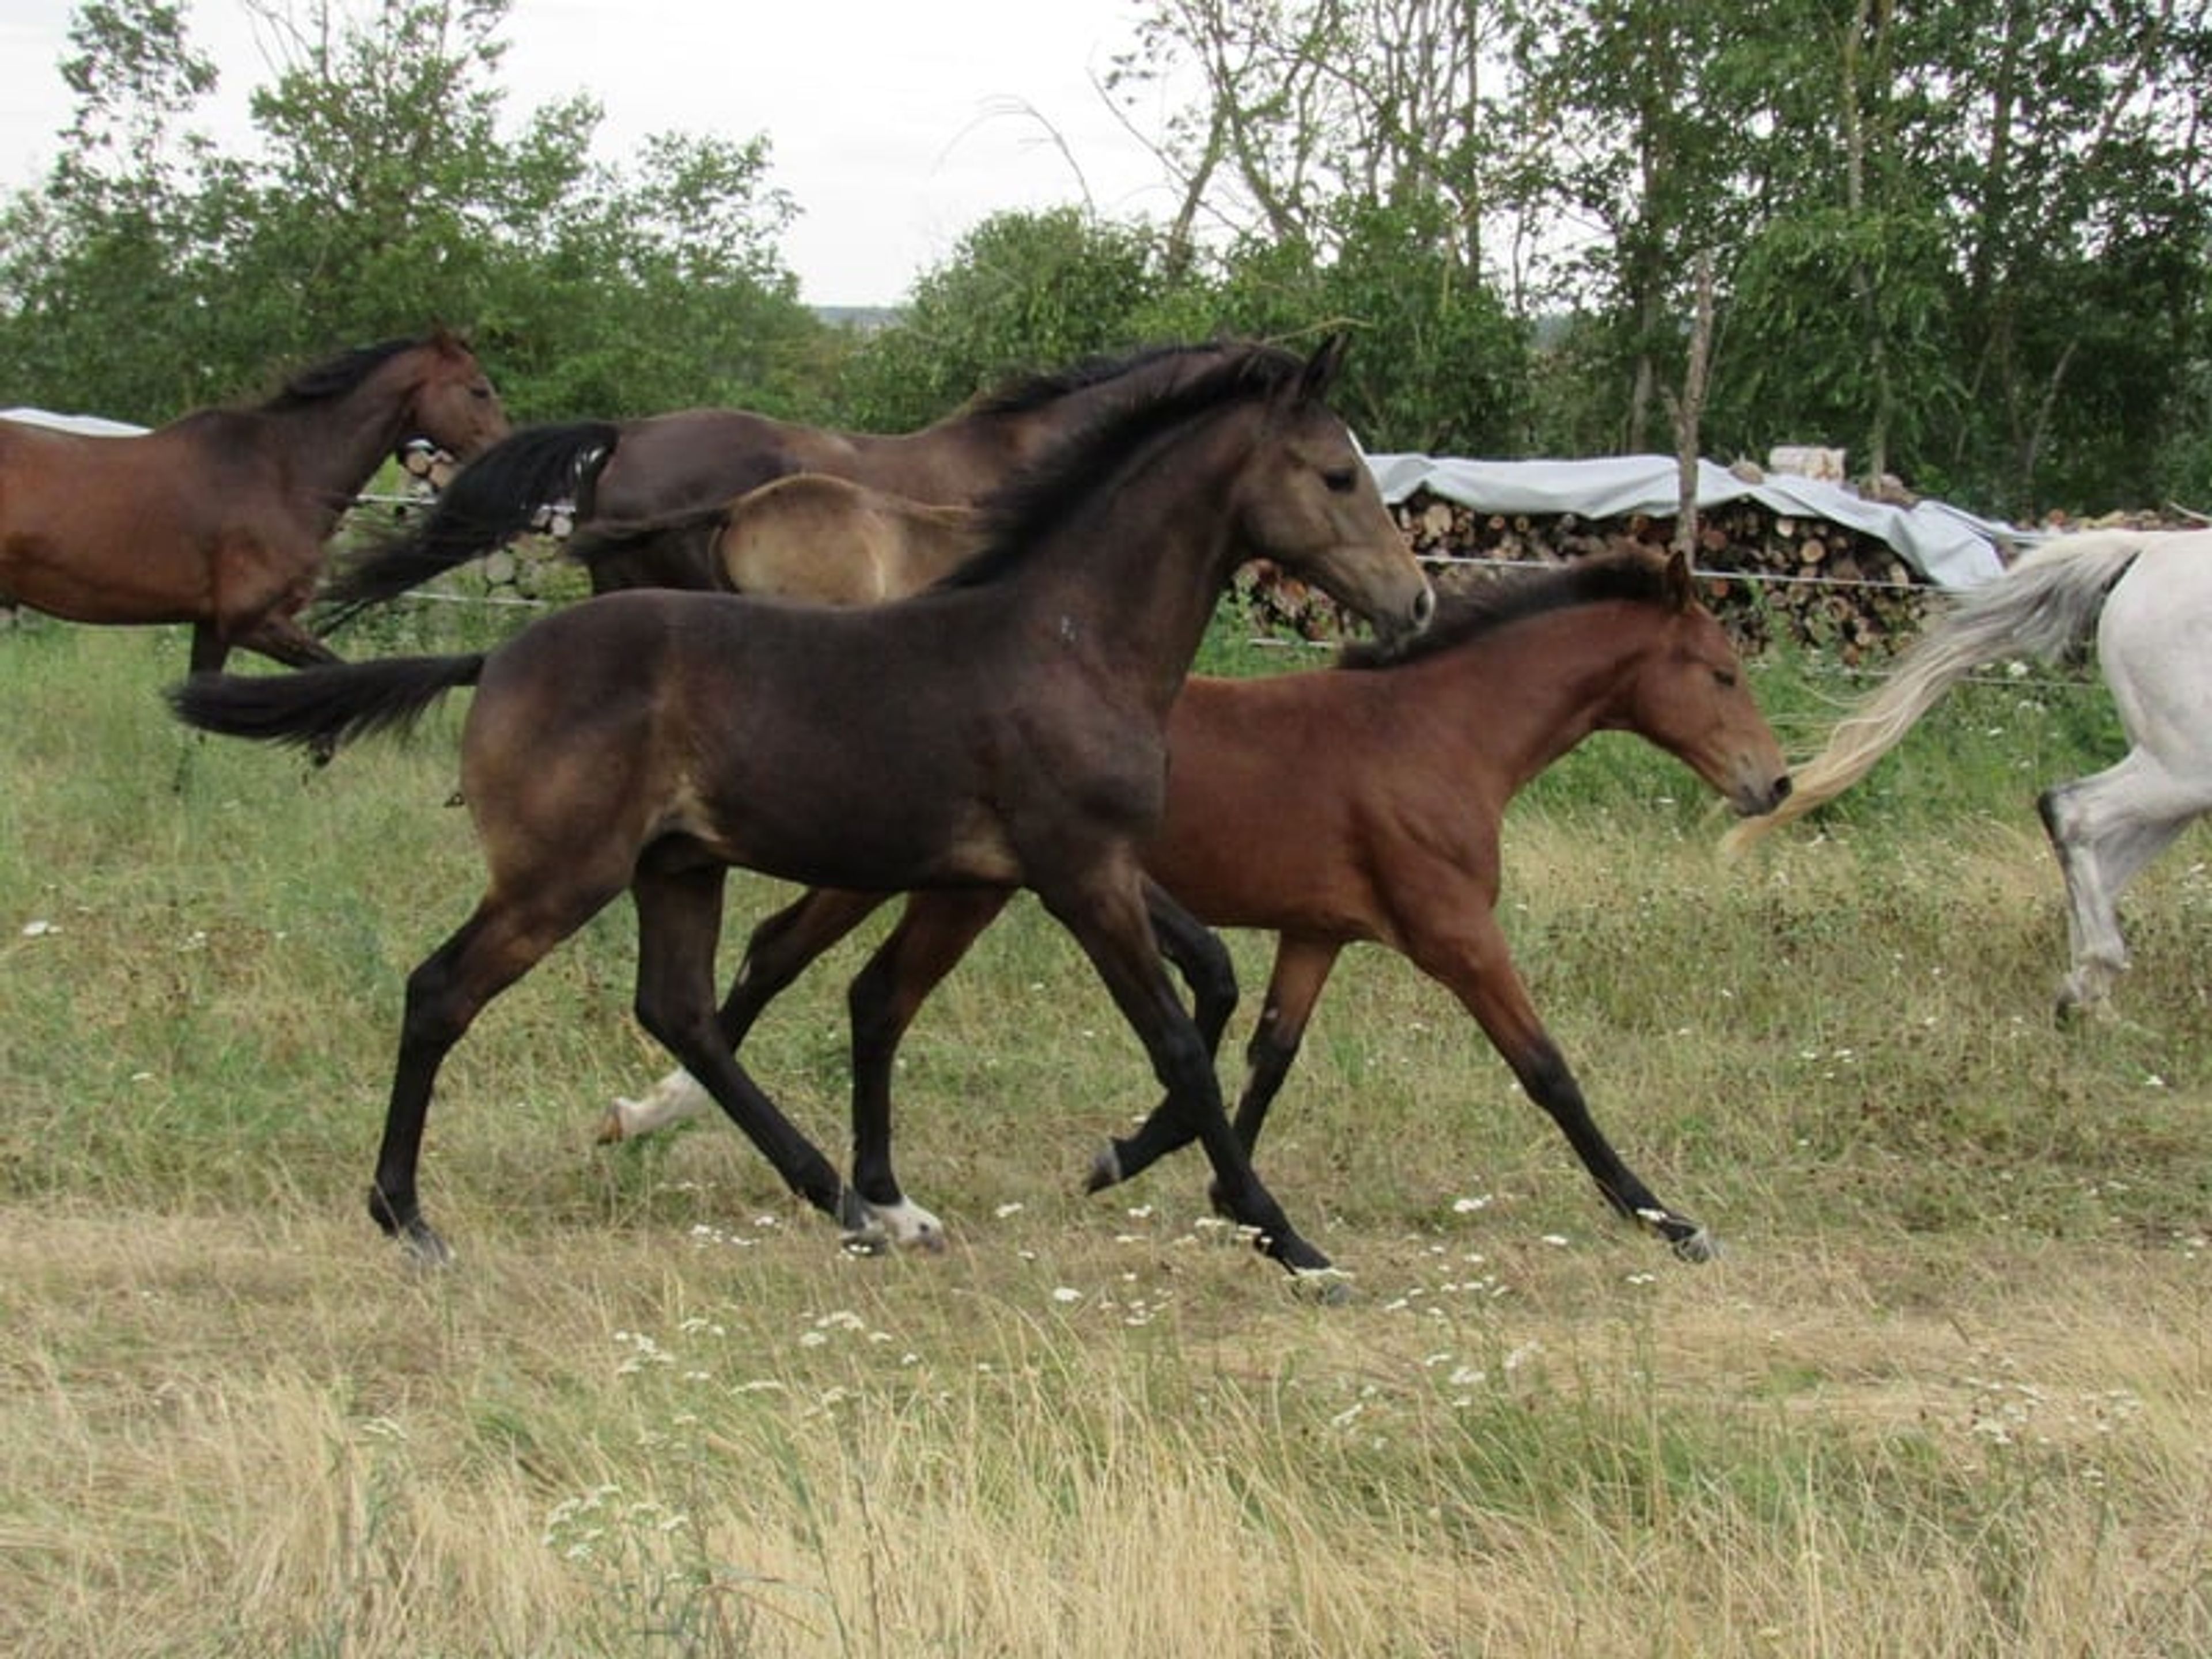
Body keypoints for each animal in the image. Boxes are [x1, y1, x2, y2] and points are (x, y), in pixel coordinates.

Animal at [600, 548, 1791, 1260]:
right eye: (1722, 672)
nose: (1773, 784)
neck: (1434, 735)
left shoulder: (1318, 933)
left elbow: (1265, 1055)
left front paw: (1197, 1185)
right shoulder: (1453, 934)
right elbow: (1548, 1073)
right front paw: (1669, 1219)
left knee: (791, 964)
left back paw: (662, 1123)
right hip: (922, 882)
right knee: (812, 976)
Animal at [1724, 526, 2212, 1017]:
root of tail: (2150, 547)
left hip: (2172, 780)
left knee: (2101, 861)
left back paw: (2088, 1003)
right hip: (2182, 771)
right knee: (2070, 811)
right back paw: (2095, 981)